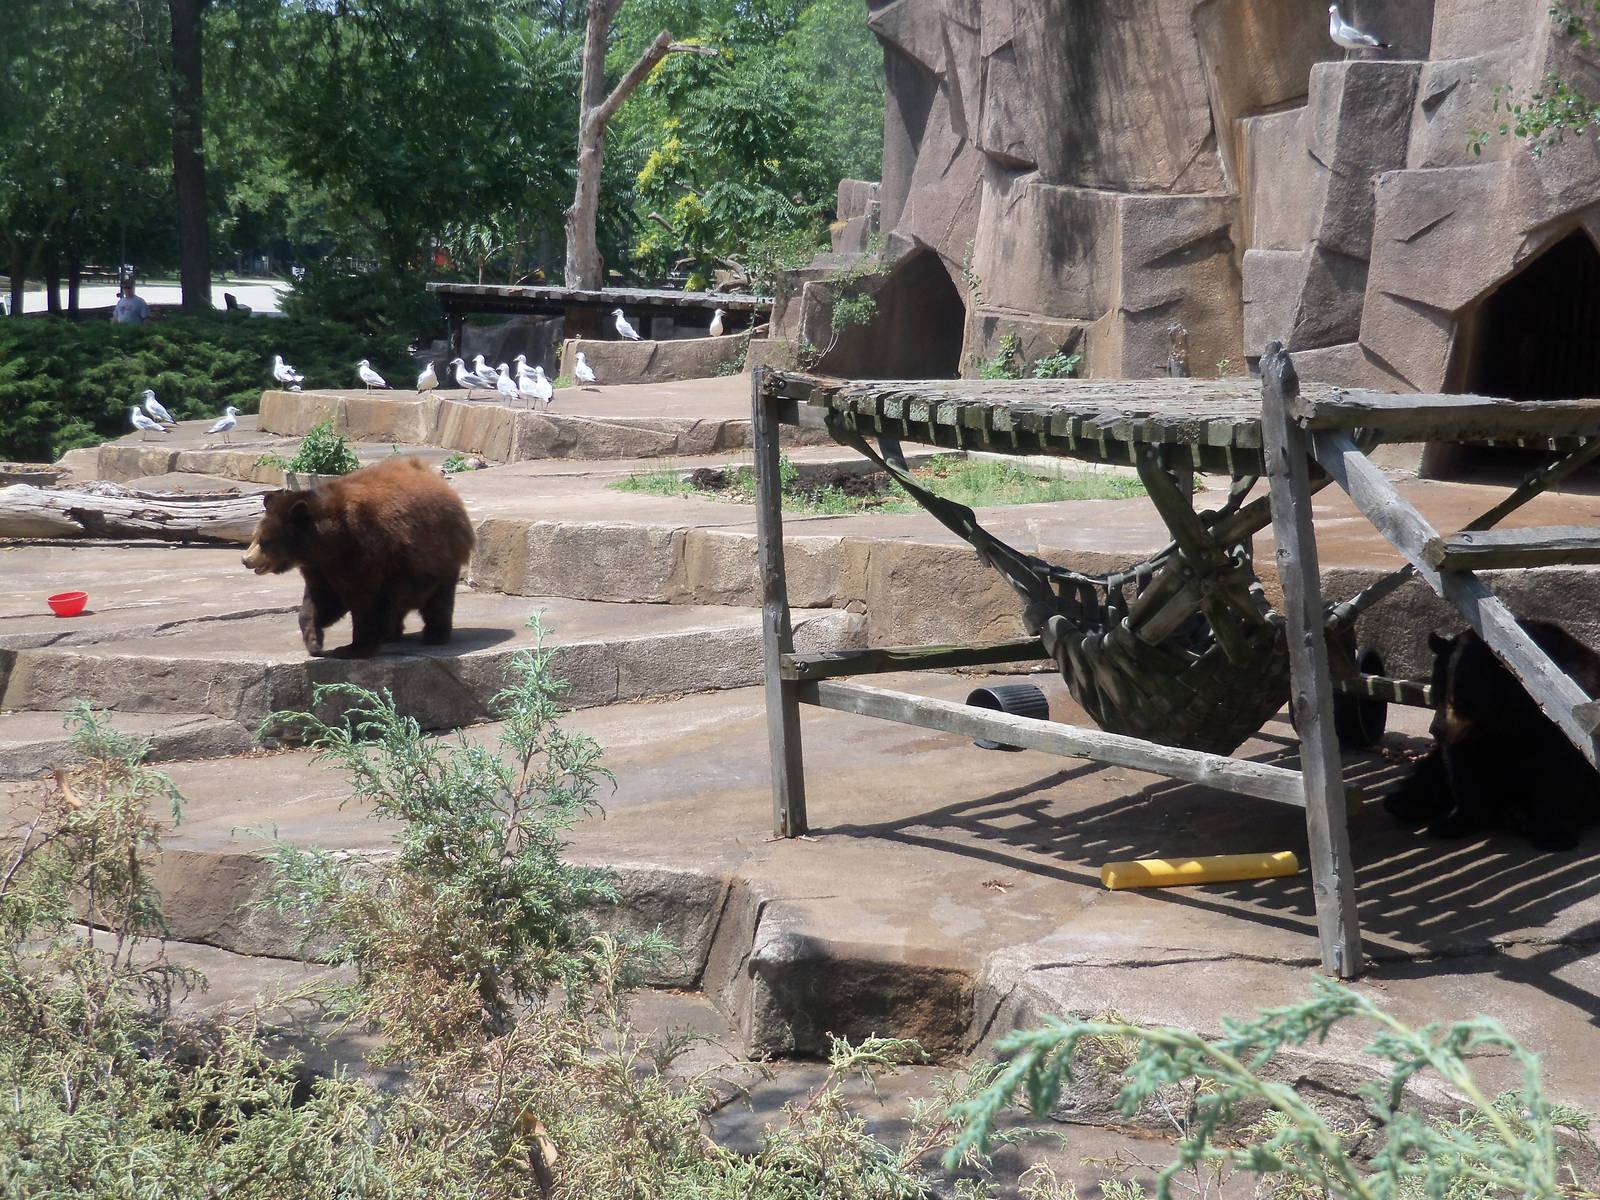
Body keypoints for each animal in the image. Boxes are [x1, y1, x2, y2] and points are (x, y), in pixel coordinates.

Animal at [242, 454, 474, 658]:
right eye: (255, 536)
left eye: (264, 541)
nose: (245, 560)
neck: (328, 542)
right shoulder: (321, 567)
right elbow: (320, 601)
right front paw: (314, 641)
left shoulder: (364, 552)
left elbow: (367, 601)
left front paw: (352, 649)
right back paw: (392, 634)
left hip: (438, 557)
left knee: (439, 599)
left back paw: (434, 635)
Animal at [1384, 619, 1600, 852]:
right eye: (1437, 693)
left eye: (1460, 700)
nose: (1437, 730)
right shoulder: (1469, 736)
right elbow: (1462, 769)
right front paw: (1453, 822)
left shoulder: (1560, 718)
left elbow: (1560, 768)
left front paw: (1554, 835)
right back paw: (1400, 804)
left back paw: (1520, 816)